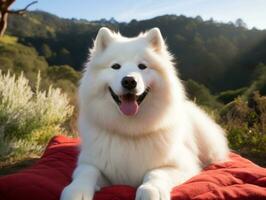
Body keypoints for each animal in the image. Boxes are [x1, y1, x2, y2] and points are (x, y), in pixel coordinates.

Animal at [60, 27, 229, 200]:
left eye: (142, 66)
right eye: (116, 66)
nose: (129, 81)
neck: (130, 132)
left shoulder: (182, 165)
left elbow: (156, 173)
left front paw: (151, 190)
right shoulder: (91, 163)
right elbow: (87, 171)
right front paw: (77, 190)